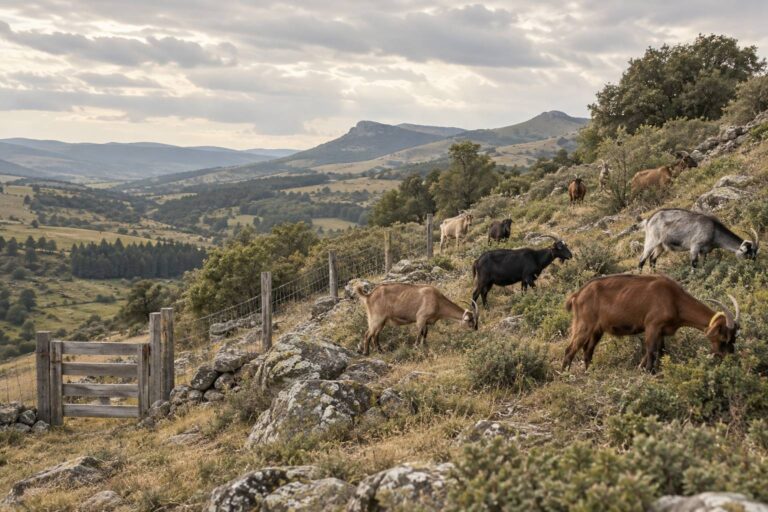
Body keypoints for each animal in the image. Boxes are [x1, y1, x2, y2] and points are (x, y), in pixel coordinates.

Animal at [563, 274, 740, 372]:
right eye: (723, 338)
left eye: (734, 338)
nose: (729, 357)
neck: (674, 299)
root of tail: (578, 295)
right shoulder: (652, 326)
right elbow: (651, 351)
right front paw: (648, 372)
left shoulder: (661, 331)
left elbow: (660, 352)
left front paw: (644, 369)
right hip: (584, 324)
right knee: (570, 349)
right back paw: (565, 376)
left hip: (597, 330)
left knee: (588, 350)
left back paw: (589, 373)